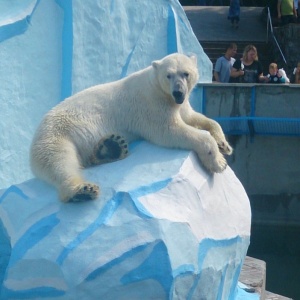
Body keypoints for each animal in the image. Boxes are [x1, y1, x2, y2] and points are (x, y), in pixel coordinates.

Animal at [30, 52, 232, 203]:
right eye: (169, 75)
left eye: (185, 73)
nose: (178, 92)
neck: (159, 88)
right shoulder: (152, 104)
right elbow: (170, 130)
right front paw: (218, 162)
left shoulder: (179, 105)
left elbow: (195, 118)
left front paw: (224, 145)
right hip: (56, 134)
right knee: (60, 161)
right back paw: (81, 190)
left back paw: (111, 147)